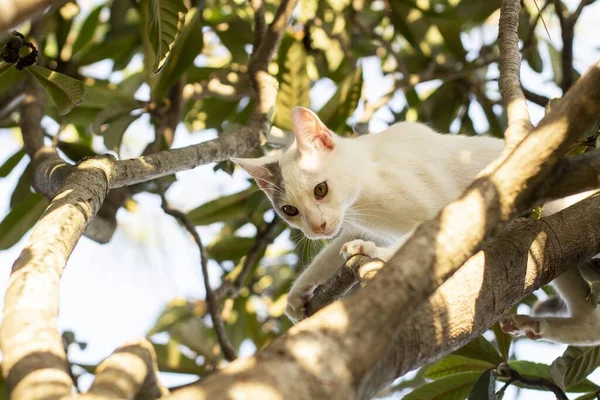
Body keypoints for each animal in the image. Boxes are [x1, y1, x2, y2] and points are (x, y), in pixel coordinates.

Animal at [232, 107, 600, 346]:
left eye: (320, 189)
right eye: (289, 210)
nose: (318, 227)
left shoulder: (452, 207)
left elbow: (418, 242)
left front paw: (373, 252)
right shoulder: (354, 219)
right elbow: (336, 247)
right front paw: (299, 292)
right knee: (589, 317)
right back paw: (542, 325)